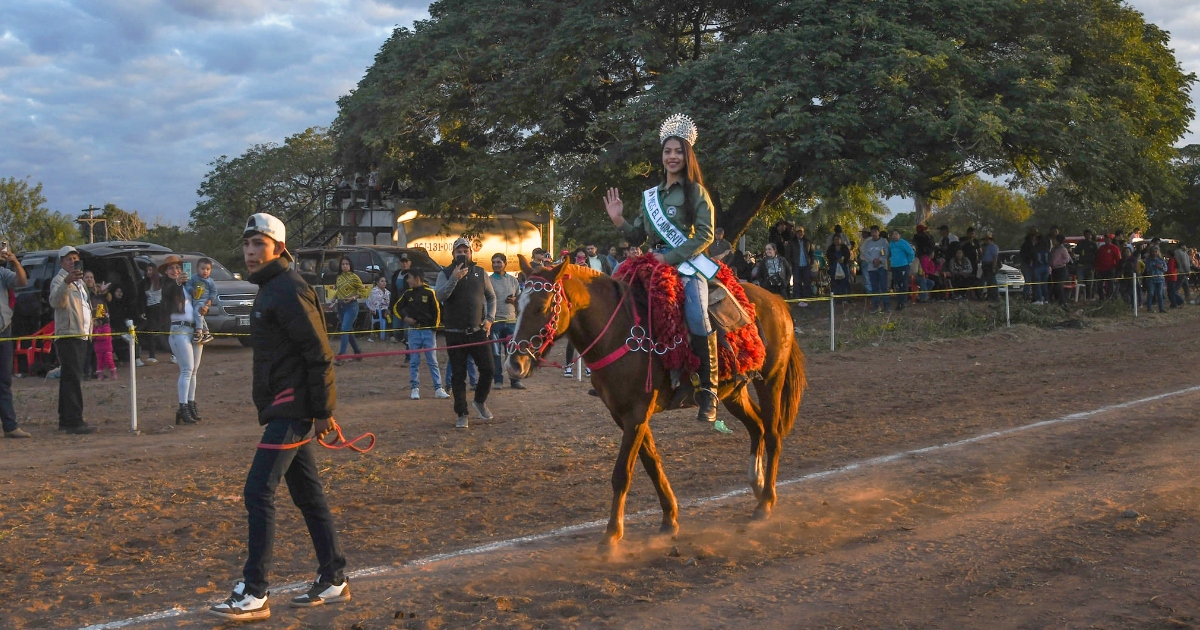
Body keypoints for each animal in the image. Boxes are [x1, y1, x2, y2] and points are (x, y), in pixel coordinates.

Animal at [506, 258, 806, 547]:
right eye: (517, 305)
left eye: (543, 306)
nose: (513, 364)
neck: (619, 331)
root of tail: (776, 300)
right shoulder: (623, 415)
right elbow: (651, 463)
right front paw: (669, 518)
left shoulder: (636, 414)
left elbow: (622, 473)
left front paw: (612, 534)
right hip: (734, 392)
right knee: (758, 427)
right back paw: (757, 484)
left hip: (770, 380)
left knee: (773, 434)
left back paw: (766, 501)